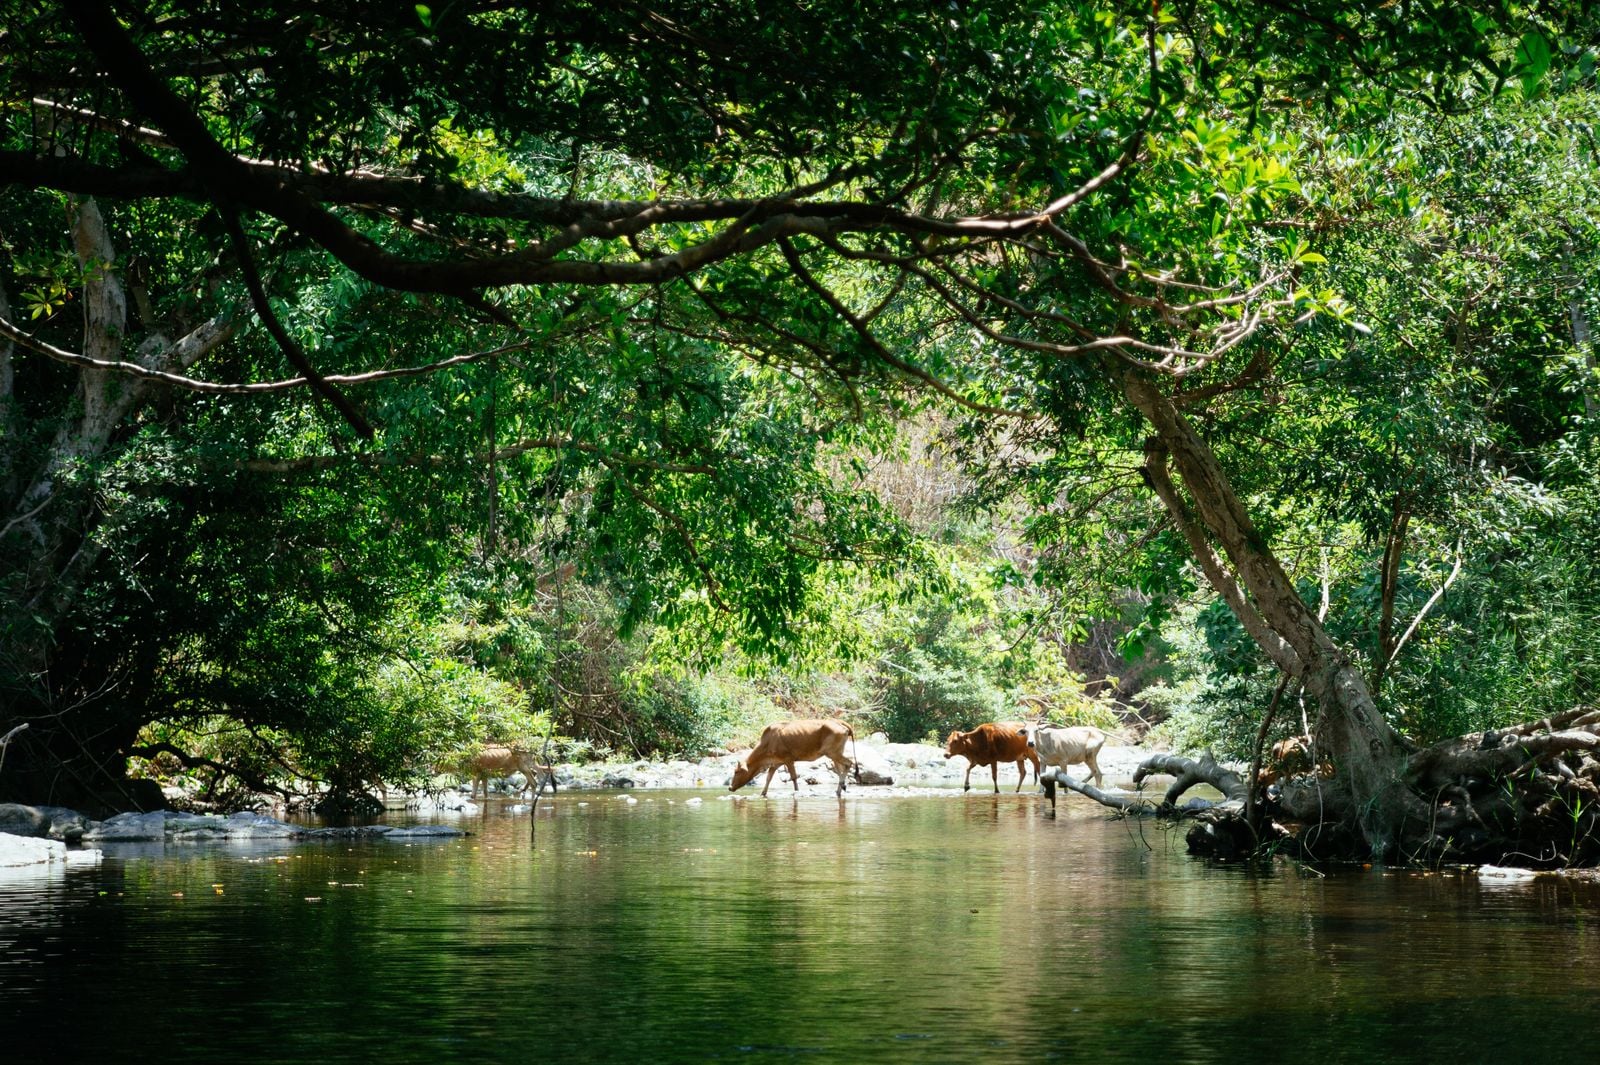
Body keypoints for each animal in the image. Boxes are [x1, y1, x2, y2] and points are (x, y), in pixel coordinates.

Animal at [729, 719, 857, 798]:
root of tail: (839, 722)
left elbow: (794, 777)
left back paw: (842, 786)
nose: (730, 787)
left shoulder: (788, 759)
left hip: (832, 752)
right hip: (835, 753)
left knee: (849, 763)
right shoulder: (775, 763)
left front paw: (796, 792)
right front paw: (763, 793)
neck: (768, 742)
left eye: (736, 771)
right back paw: (840, 789)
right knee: (840, 769)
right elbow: (768, 778)